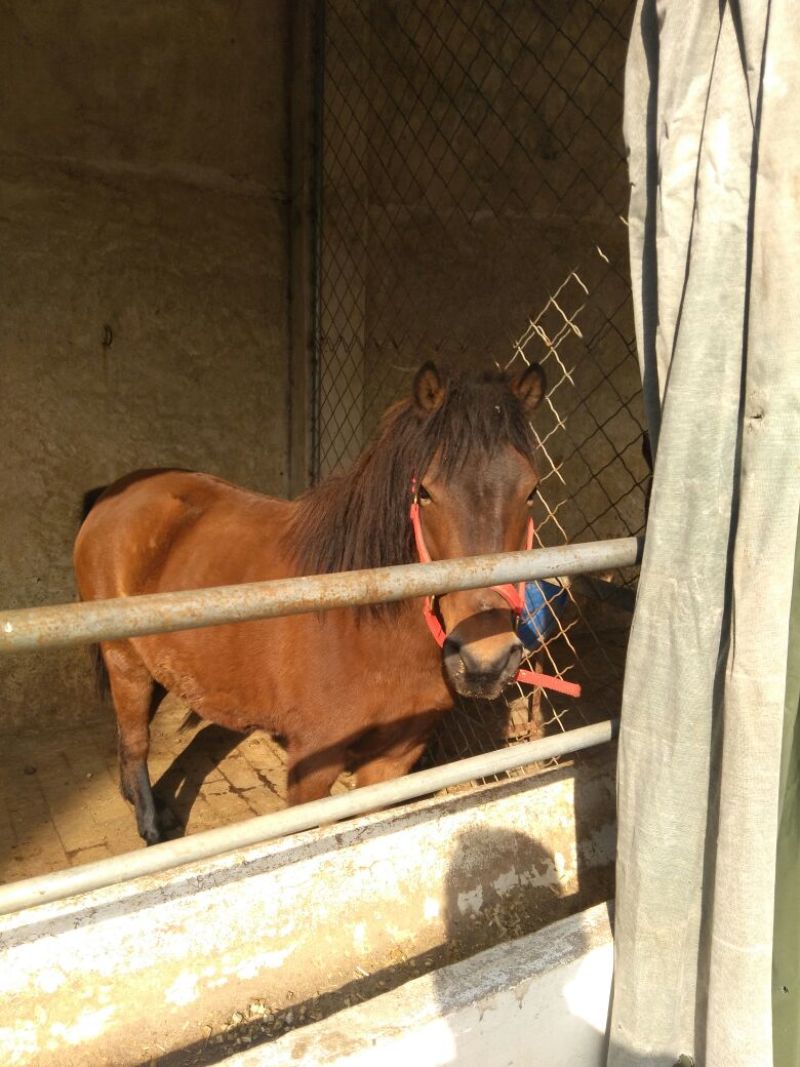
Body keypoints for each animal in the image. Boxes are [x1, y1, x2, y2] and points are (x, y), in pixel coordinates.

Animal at [74, 360, 547, 845]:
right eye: (425, 493)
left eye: (530, 491)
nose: (484, 662)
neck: (366, 629)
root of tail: (117, 492)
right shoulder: (312, 766)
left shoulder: (393, 760)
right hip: (124, 660)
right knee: (136, 739)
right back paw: (151, 826)